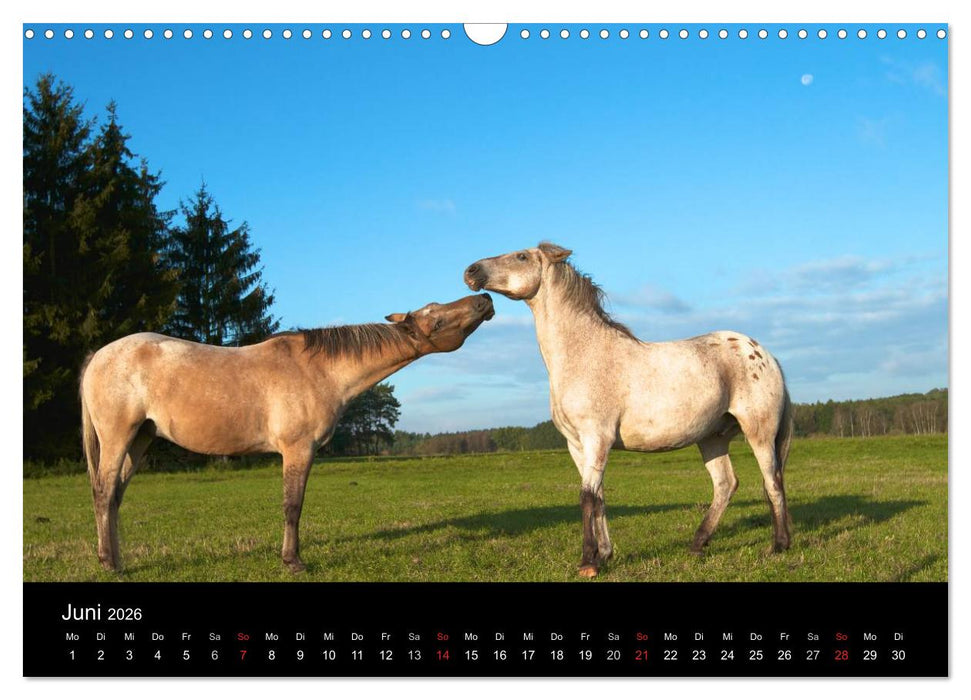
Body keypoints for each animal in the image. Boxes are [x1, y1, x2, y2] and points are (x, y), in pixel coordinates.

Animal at [79, 293, 494, 573]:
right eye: (435, 321)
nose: (484, 300)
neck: (319, 371)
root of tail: (98, 356)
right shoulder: (298, 450)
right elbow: (292, 506)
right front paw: (293, 561)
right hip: (118, 437)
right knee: (102, 493)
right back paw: (109, 564)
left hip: (141, 439)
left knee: (114, 496)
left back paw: (116, 559)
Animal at [465, 243, 791, 577]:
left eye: (521, 256)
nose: (471, 271)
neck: (584, 355)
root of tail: (765, 354)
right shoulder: (576, 445)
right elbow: (598, 498)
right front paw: (605, 554)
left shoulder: (597, 438)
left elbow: (586, 497)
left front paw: (588, 562)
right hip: (712, 437)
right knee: (726, 484)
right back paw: (697, 544)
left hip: (759, 433)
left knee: (772, 480)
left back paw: (778, 546)